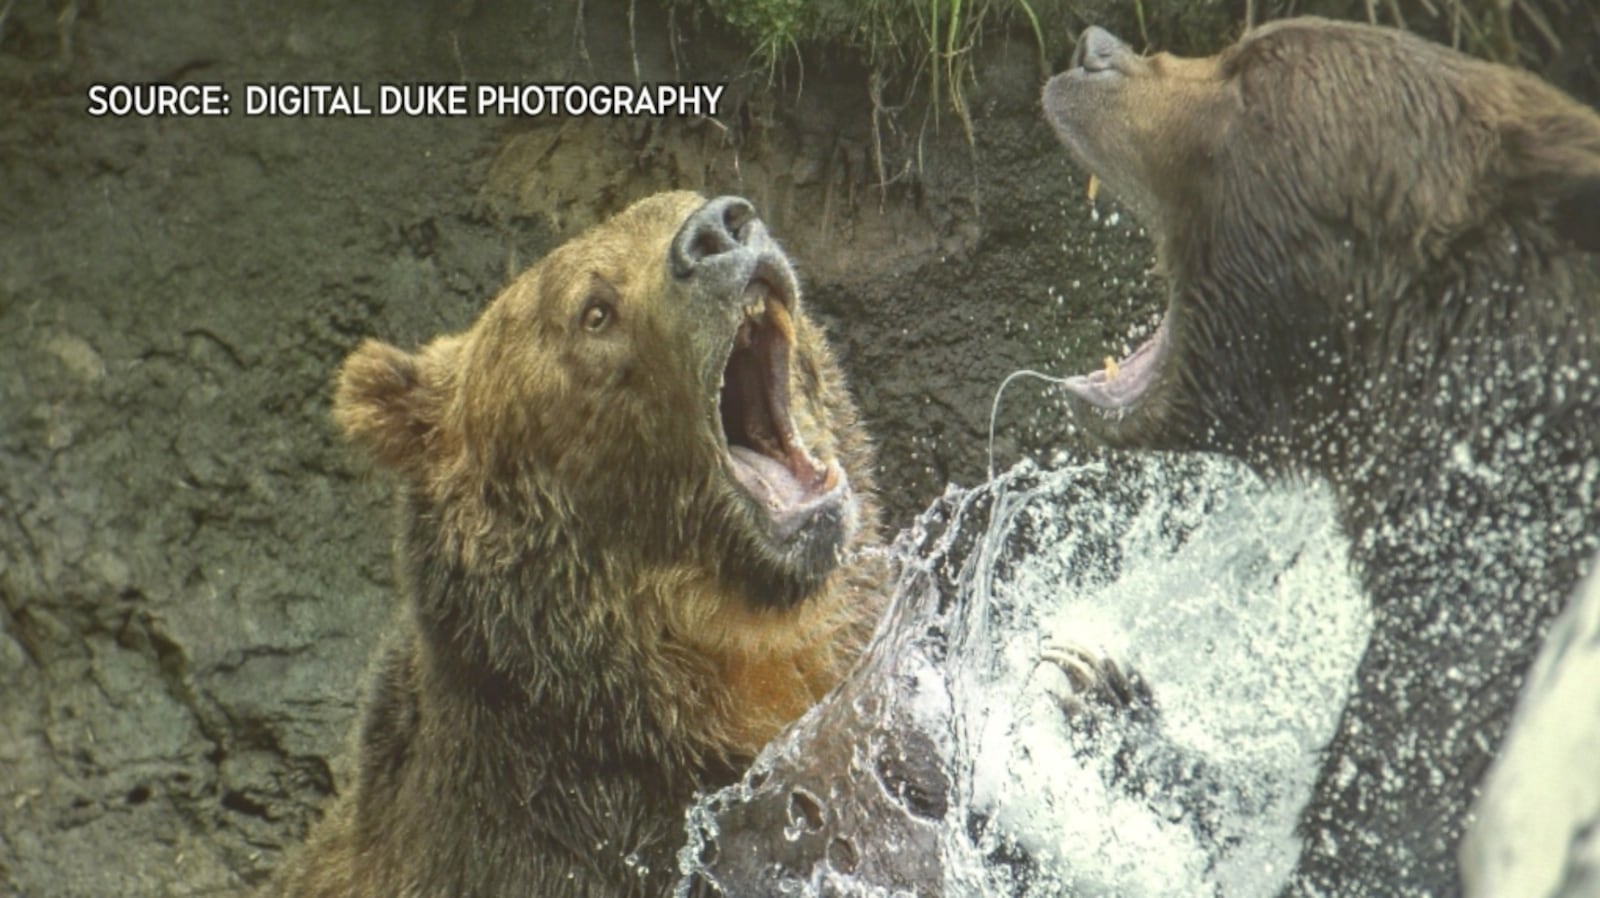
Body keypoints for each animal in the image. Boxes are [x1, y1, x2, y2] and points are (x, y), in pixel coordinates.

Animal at [1043, 17, 1600, 898]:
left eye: (1247, 83)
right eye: (1237, 51)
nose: (1095, 50)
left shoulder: (1485, 627)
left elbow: (1373, 831)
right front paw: (1105, 692)